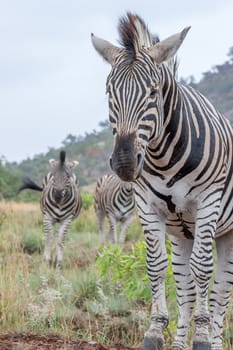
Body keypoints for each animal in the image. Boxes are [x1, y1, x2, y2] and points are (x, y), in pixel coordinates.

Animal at [92, 12, 233, 350]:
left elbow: (203, 268)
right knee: (185, 285)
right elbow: (156, 264)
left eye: (153, 93)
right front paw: (155, 332)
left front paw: (203, 338)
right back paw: (180, 342)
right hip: (182, 233)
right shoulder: (147, 205)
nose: (125, 163)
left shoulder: (208, 202)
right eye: (109, 93)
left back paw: (214, 339)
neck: (164, 155)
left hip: (226, 231)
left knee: (221, 289)